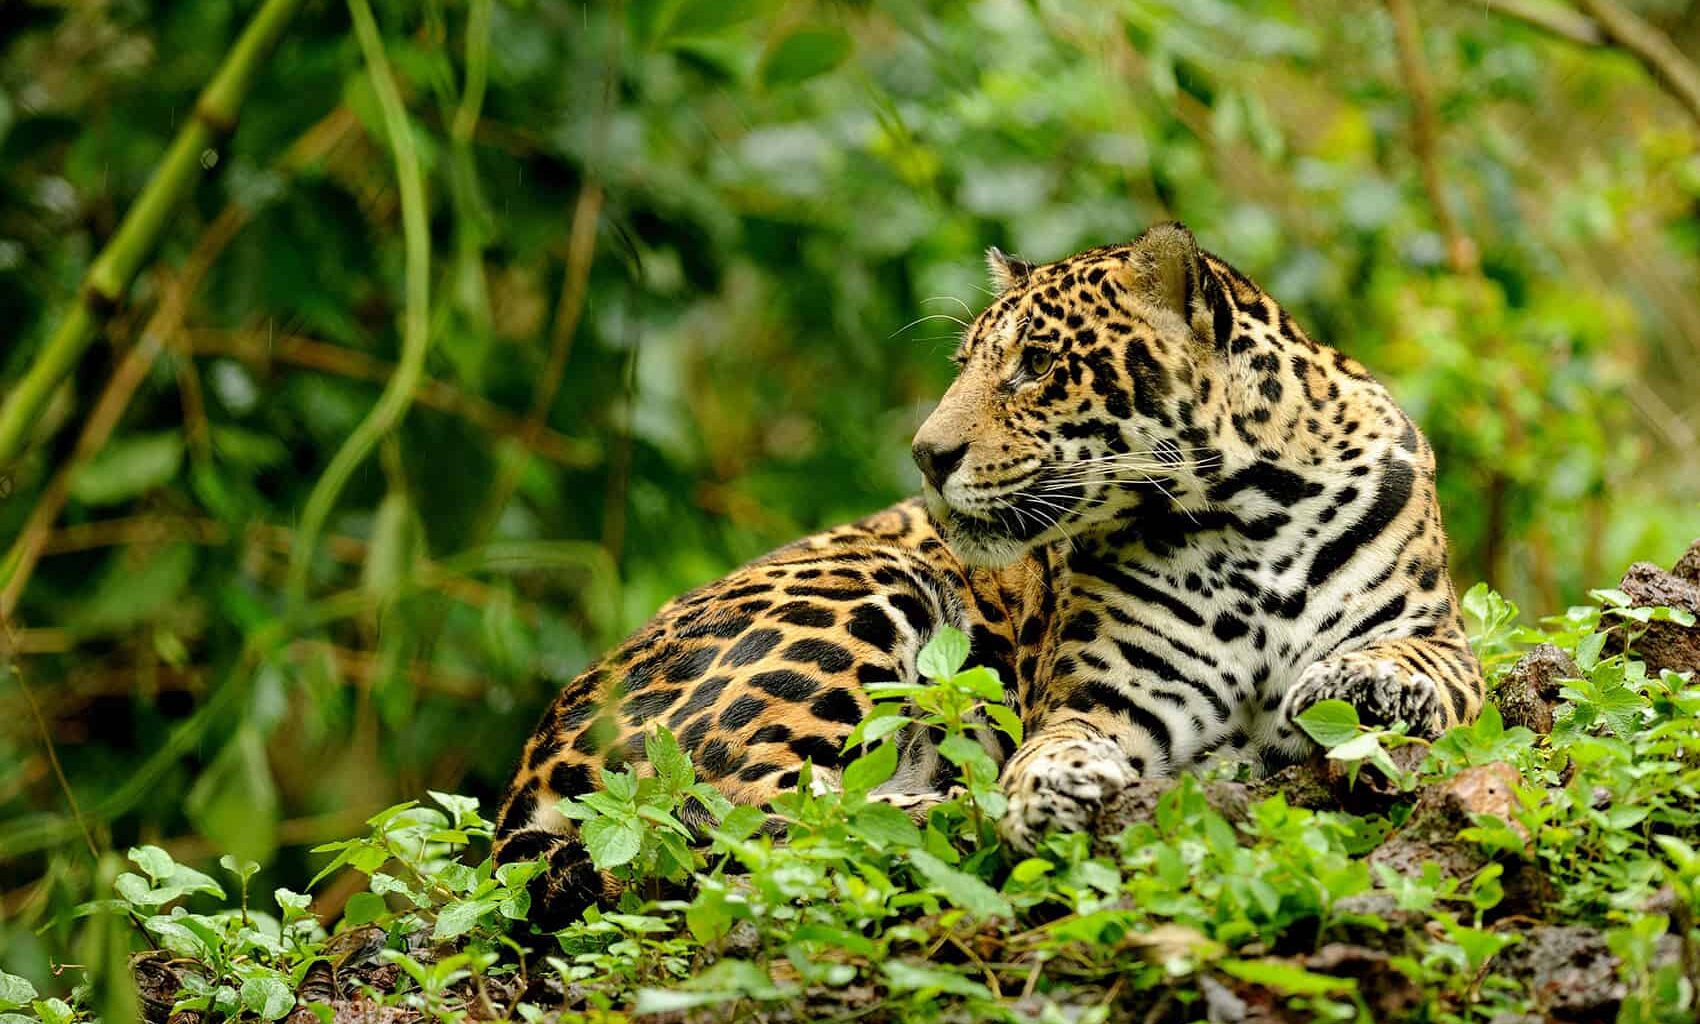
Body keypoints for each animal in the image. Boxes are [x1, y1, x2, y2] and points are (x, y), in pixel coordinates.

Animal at [493, 222, 1485, 925]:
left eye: (1038, 366)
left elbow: (1421, 663)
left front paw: (1364, 685)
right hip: (863, 592)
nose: (927, 456)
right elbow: (1058, 741)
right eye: (967, 364)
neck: (1236, 517)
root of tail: (521, 785)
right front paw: (1047, 789)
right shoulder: (1106, 699)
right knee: (732, 809)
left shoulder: (1440, 632)